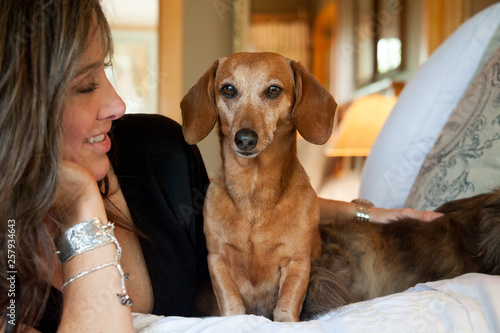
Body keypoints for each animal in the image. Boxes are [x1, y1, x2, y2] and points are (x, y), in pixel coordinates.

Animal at [180, 52, 336, 322]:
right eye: (228, 89)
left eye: (274, 90)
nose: (245, 139)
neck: (254, 190)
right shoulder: (217, 259)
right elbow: (231, 301)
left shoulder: (297, 262)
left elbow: (287, 302)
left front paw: (286, 320)